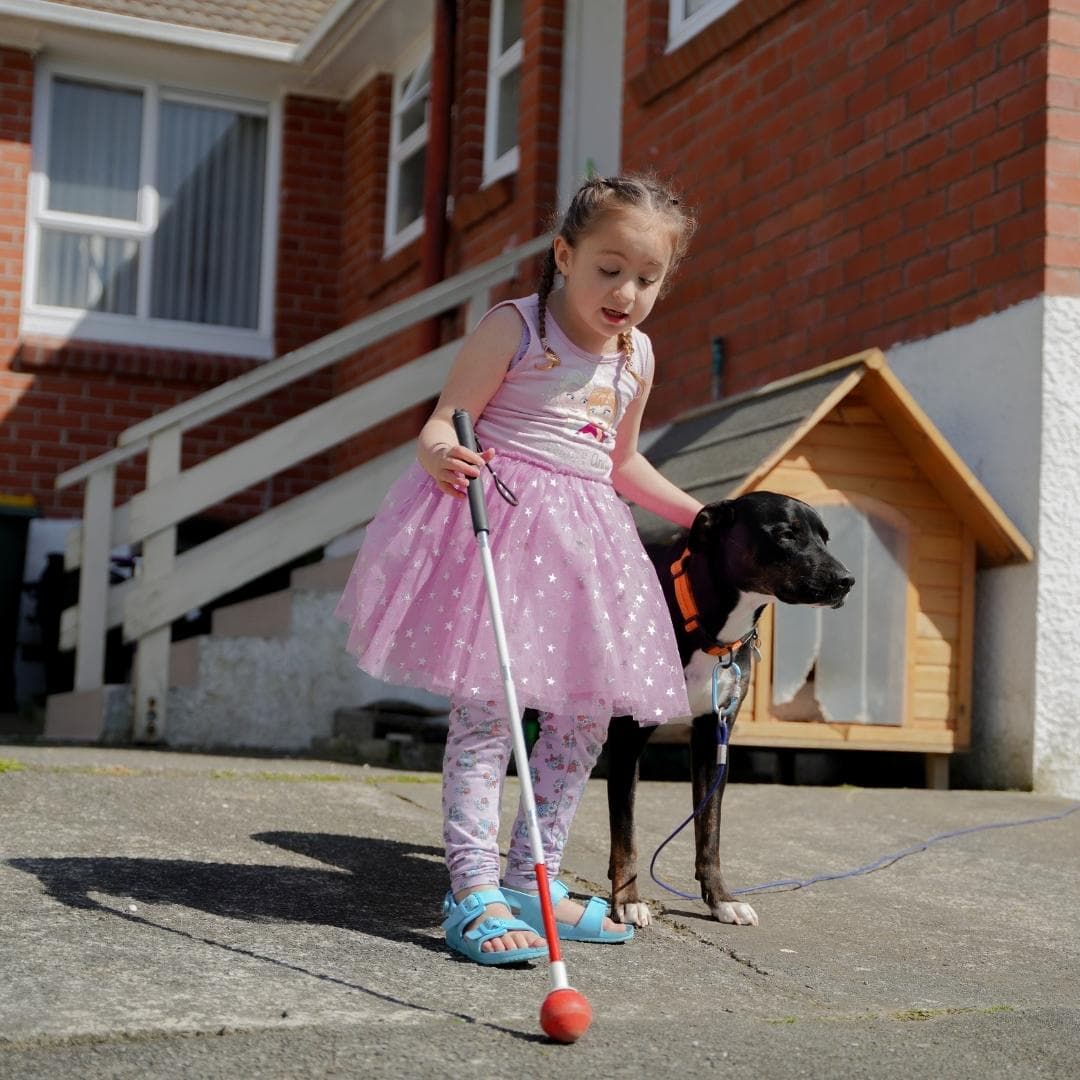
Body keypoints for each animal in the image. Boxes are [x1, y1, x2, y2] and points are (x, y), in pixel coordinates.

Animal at [609, 494, 851, 924]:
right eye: (786, 534)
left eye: (825, 538)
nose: (847, 580)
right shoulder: (627, 737)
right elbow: (627, 830)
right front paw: (627, 899)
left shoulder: (713, 737)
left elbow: (710, 830)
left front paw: (721, 899)